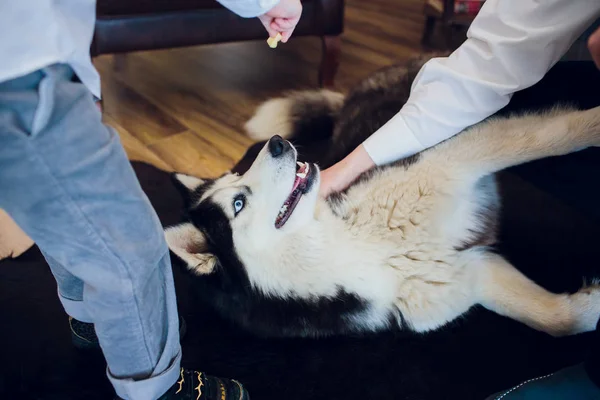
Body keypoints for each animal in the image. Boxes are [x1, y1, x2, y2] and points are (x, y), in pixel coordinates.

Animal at [164, 54, 600, 340]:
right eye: (238, 204)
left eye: (238, 173)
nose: (277, 144)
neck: (354, 242)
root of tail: (349, 98)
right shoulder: (465, 275)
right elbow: (563, 321)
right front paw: (589, 304)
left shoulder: (458, 156)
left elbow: (557, 134)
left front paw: (592, 126)